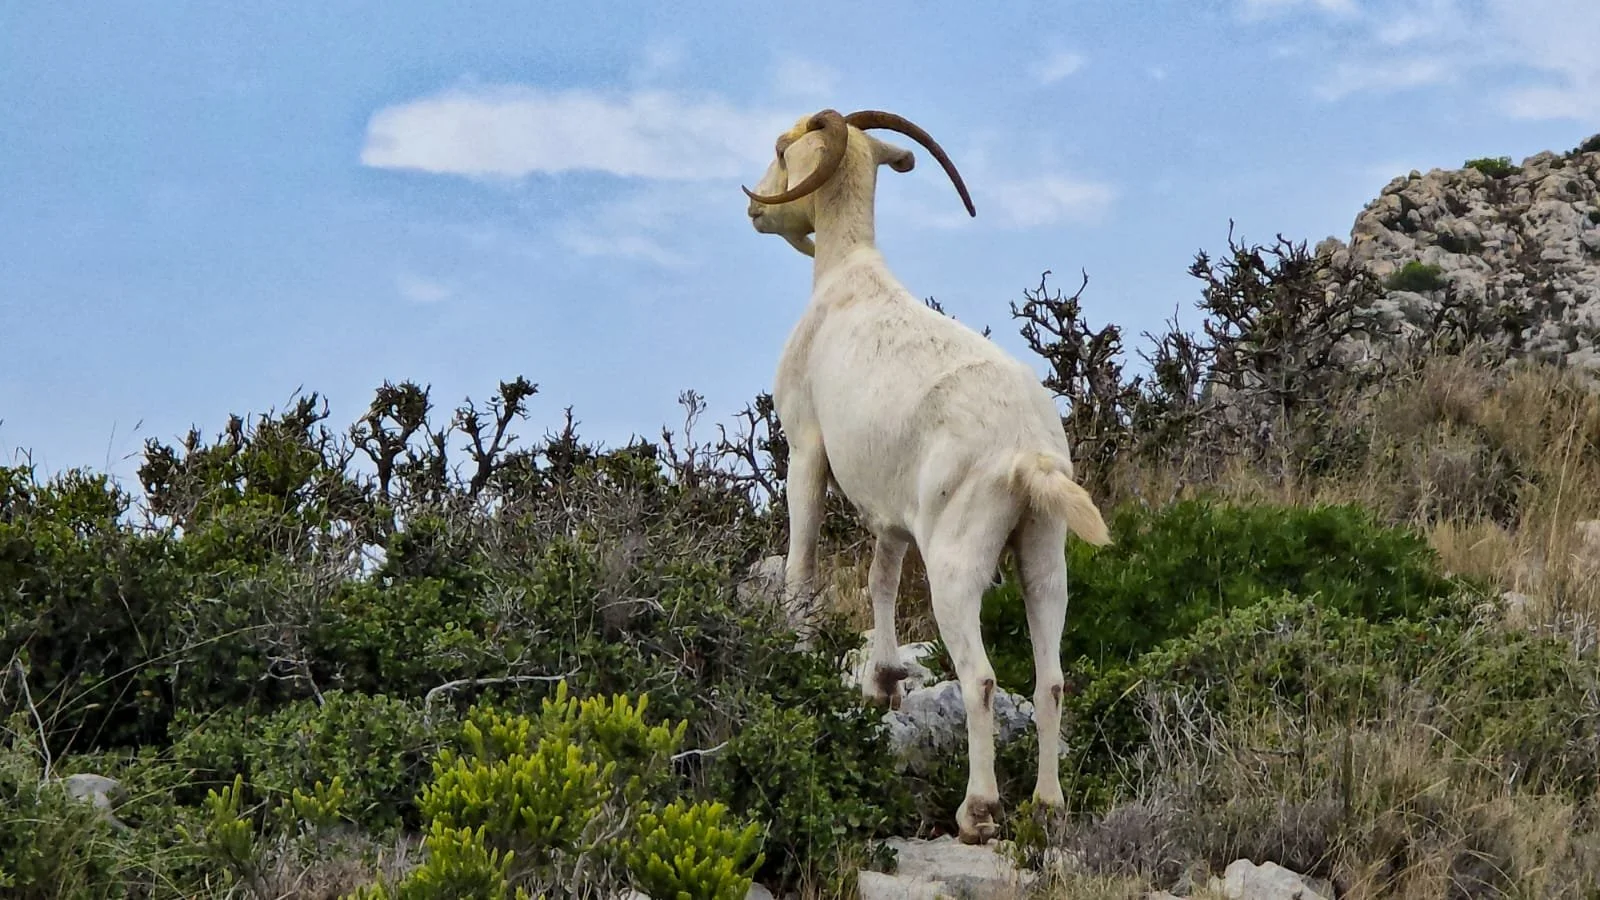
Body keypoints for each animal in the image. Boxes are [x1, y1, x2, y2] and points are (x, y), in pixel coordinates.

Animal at [742, 109, 1112, 844]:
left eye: (780, 149)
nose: (754, 208)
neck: (846, 282)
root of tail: (1026, 454)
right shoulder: (892, 510)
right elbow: (881, 580)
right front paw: (882, 682)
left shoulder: (806, 447)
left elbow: (803, 564)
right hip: (1044, 550)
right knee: (1051, 678)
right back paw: (1048, 805)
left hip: (955, 557)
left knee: (982, 679)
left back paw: (980, 812)